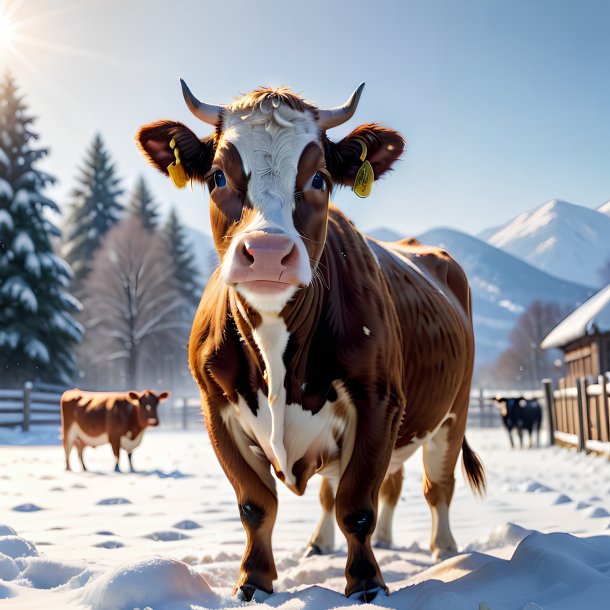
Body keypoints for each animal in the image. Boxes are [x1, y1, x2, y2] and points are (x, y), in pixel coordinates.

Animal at [135, 83, 482, 600]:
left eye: (319, 178)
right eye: (218, 176)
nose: (267, 252)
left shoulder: (378, 401)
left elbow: (356, 506)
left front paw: (366, 585)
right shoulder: (215, 407)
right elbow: (256, 504)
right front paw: (254, 583)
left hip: (452, 411)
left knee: (435, 487)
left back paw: (444, 549)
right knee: (366, 486)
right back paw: (331, 544)